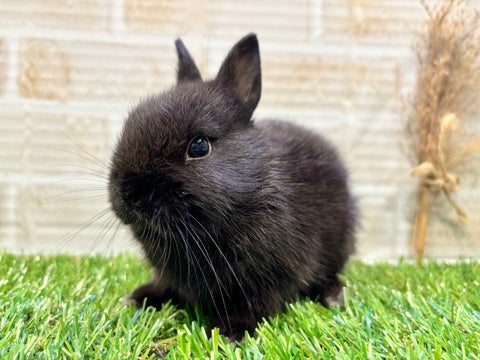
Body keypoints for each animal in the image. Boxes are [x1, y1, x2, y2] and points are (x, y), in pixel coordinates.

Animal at [108, 33, 356, 340]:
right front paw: (137, 298)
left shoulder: (269, 276)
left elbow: (255, 304)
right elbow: (165, 286)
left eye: (199, 146)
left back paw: (334, 295)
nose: (129, 194)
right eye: (130, 125)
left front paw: (226, 332)